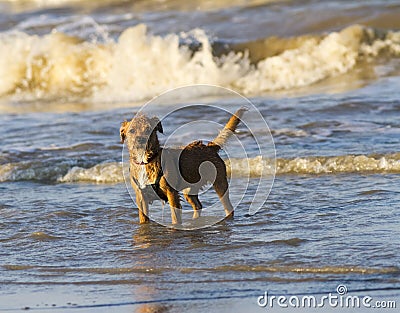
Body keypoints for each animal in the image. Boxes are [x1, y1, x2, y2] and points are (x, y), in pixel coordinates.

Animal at [119, 107, 247, 224]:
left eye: (148, 129)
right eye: (131, 131)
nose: (140, 140)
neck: (146, 161)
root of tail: (209, 146)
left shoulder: (171, 193)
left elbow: (175, 217)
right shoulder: (141, 197)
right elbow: (143, 218)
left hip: (220, 183)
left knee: (228, 207)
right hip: (189, 191)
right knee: (198, 205)